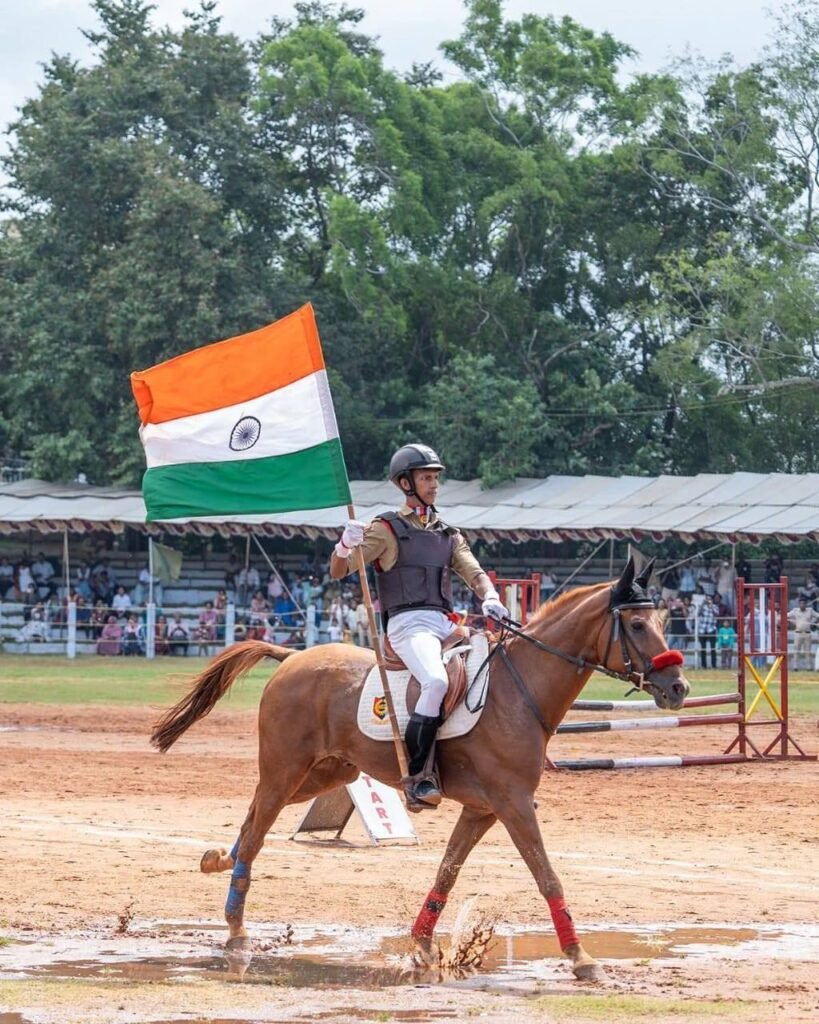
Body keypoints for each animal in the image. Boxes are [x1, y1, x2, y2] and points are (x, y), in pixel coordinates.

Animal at [151, 557, 689, 981]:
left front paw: (422, 945)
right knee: (258, 827)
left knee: (252, 821)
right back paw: (236, 925)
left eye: (662, 619)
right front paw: (580, 958)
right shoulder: (513, 804)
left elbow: (447, 872)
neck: (520, 689)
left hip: (327, 775)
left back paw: (218, 865)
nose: (679, 688)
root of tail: (293, 656)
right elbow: (547, 876)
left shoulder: (482, 809)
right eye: (636, 626)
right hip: (287, 769)